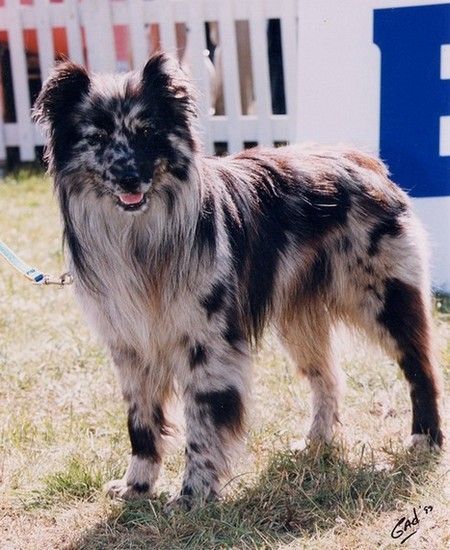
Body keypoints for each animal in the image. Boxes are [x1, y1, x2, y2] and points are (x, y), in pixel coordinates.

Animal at [34, 54, 442, 512]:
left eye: (147, 131)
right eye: (98, 137)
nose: (129, 178)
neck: (143, 242)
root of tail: (364, 162)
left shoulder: (208, 345)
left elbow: (202, 423)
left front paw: (192, 495)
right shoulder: (130, 347)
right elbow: (141, 422)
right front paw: (137, 486)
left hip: (383, 298)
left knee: (420, 365)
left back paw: (425, 437)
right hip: (299, 323)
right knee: (327, 377)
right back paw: (317, 442)